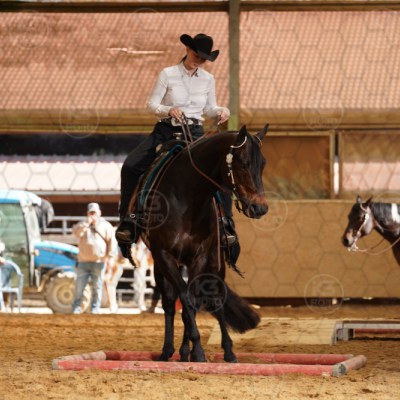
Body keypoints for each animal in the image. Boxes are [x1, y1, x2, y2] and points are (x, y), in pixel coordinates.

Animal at [133, 124, 269, 363]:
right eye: (242, 162)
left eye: (263, 164)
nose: (259, 208)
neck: (188, 198)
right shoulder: (164, 256)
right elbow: (185, 299)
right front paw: (193, 348)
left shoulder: (201, 256)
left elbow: (194, 300)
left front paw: (194, 350)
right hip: (163, 265)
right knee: (170, 302)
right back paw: (169, 350)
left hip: (215, 261)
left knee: (216, 297)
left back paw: (227, 351)